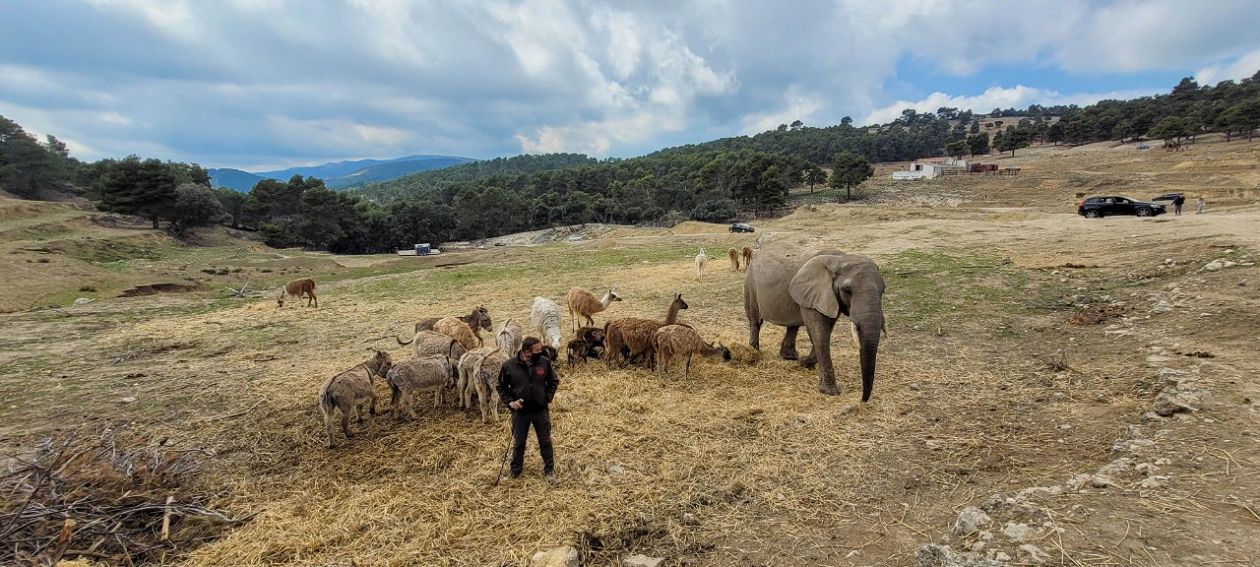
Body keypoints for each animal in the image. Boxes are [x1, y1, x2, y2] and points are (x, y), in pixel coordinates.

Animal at [745, 241, 887, 400]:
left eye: (883, 290)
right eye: (847, 290)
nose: (862, 400)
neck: (840, 260)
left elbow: (825, 331)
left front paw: (805, 363)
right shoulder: (816, 293)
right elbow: (819, 333)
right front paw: (830, 392)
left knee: (792, 324)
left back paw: (790, 357)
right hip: (750, 282)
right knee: (755, 320)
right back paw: (754, 354)